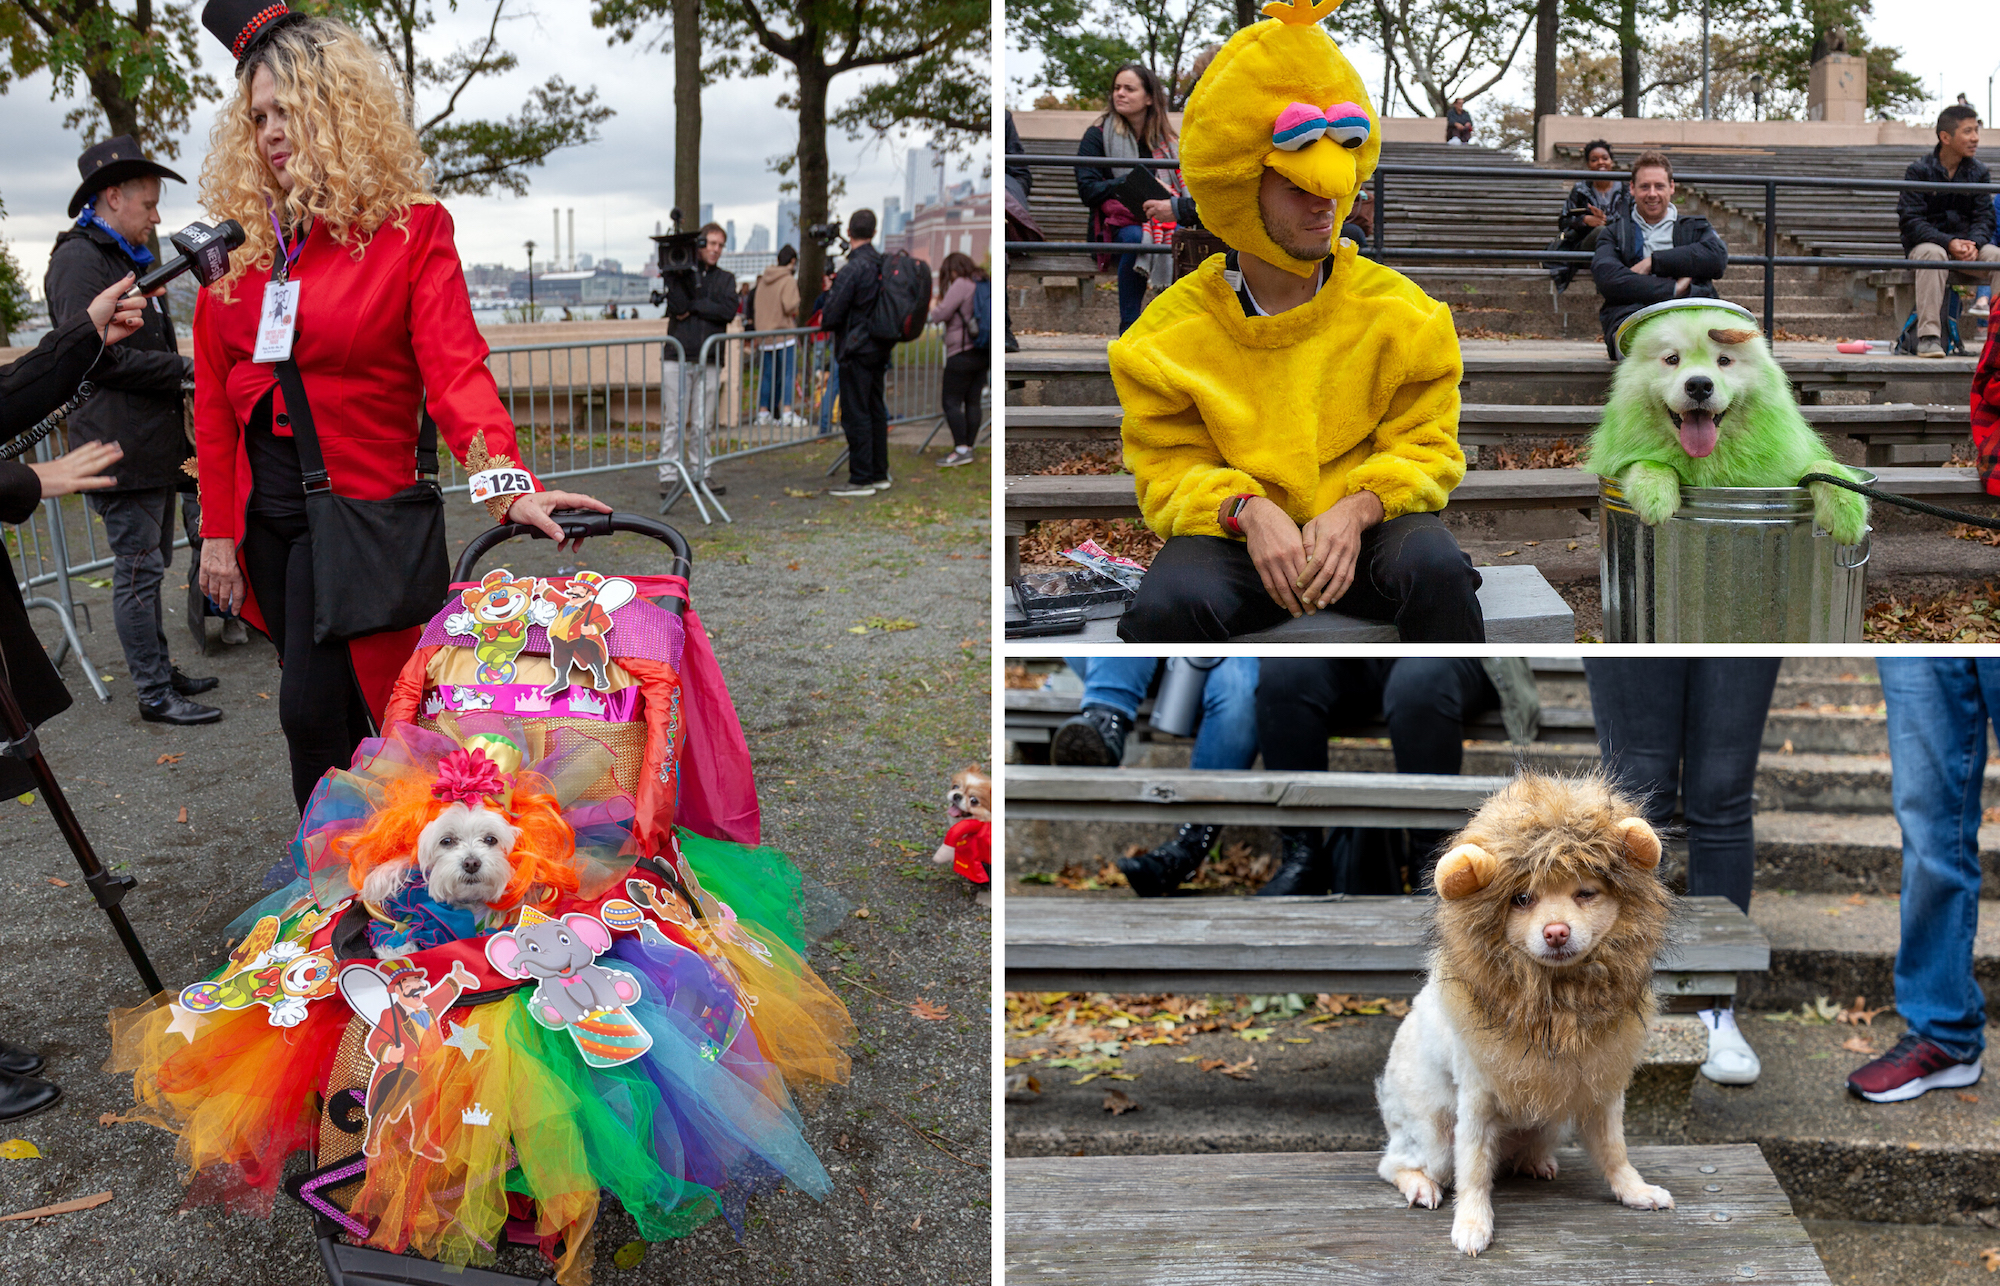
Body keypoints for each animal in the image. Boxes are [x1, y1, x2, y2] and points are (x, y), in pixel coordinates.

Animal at [1584, 304, 1864, 544]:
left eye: (1724, 361)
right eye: (1672, 359)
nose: (1699, 385)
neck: (1707, 460)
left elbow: (1823, 466)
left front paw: (1847, 512)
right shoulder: (1614, 460)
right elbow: (1646, 460)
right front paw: (1655, 496)